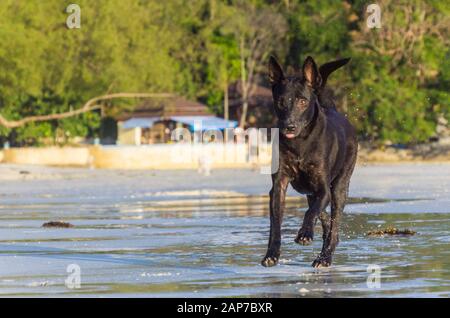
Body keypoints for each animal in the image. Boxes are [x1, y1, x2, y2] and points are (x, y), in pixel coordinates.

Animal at [262, 55, 356, 268]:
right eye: (281, 101)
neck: (300, 143)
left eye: (303, 101)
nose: (289, 126)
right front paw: (272, 254)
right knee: (325, 218)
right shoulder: (279, 186)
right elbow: (275, 224)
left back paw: (324, 257)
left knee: (333, 223)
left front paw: (305, 234)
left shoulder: (323, 187)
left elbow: (310, 212)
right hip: (310, 191)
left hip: (339, 187)